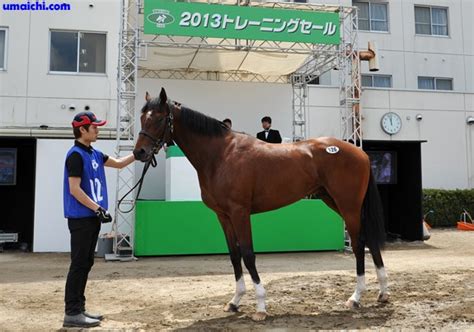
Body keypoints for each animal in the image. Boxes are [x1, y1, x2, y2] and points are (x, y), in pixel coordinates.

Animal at [133, 87, 388, 320]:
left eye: (158, 118)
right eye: (142, 118)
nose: (139, 152)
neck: (221, 155)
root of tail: (360, 152)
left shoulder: (240, 212)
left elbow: (248, 254)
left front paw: (261, 307)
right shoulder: (223, 216)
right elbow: (234, 255)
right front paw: (234, 301)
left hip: (348, 205)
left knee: (359, 243)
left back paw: (356, 297)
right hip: (335, 201)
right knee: (369, 240)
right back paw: (383, 293)